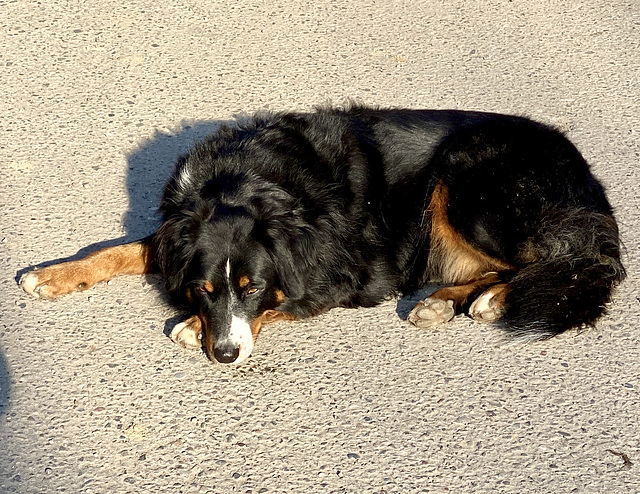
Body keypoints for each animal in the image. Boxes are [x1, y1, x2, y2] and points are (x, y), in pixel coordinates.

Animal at [18, 106, 624, 364]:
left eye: (254, 287)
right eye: (205, 289)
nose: (225, 356)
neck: (249, 179)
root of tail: (587, 178)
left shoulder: (352, 272)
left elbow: (293, 302)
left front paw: (192, 329)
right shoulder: (179, 230)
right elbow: (119, 249)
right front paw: (53, 275)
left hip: (469, 181)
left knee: (571, 264)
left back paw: (490, 299)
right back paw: (447, 301)